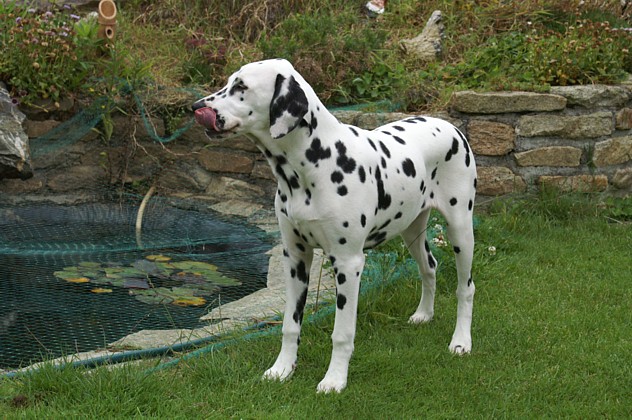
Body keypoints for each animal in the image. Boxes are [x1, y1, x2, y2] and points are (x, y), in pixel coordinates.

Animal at [192, 59, 476, 393]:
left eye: (241, 87)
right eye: (229, 82)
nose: (195, 107)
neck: (312, 165)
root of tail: (450, 126)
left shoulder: (348, 263)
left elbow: (342, 333)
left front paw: (335, 379)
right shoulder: (295, 258)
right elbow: (290, 325)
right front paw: (282, 369)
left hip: (461, 230)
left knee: (466, 287)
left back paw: (461, 341)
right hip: (411, 231)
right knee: (429, 267)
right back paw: (424, 314)